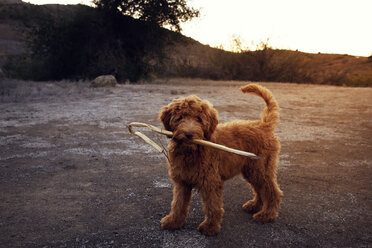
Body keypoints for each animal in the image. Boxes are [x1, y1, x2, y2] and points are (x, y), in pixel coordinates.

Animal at [158, 84, 284, 236]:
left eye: (199, 119)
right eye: (180, 117)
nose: (189, 134)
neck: (192, 151)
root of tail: (264, 125)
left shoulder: (210, 181)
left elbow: (212, 206)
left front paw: (210, 227)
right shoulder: (182, 181)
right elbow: (178, 203)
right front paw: (173, 221)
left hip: (261, 168)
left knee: (272, 191)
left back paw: (267, 214)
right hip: (251, 169)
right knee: (260, 188)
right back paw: (255, 205)